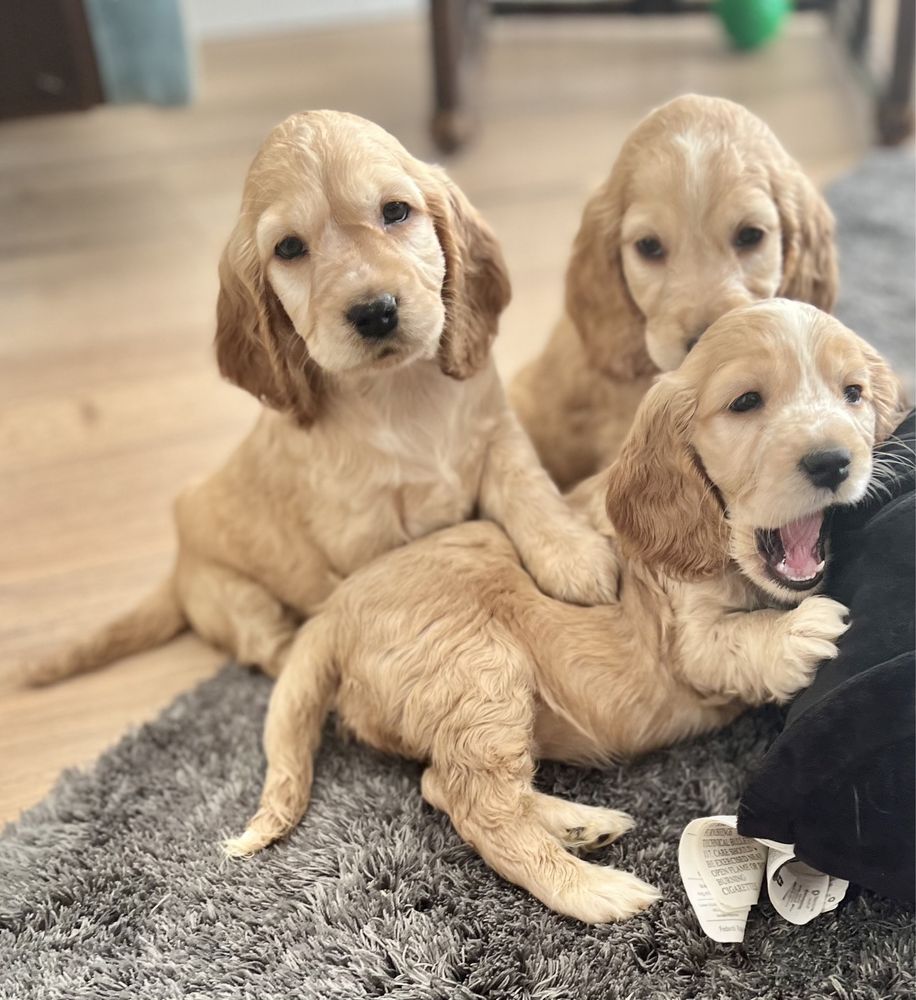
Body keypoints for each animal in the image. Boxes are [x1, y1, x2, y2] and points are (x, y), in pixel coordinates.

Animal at [25, 109, 616, 688]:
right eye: (289, 247)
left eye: (396, 211)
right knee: (272, 647)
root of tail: (176, 571)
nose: (375, 312)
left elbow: (529, 490)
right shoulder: (363, 532)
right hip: (233, 595)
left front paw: (576, 555)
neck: (402, 392)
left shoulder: (497, 432)